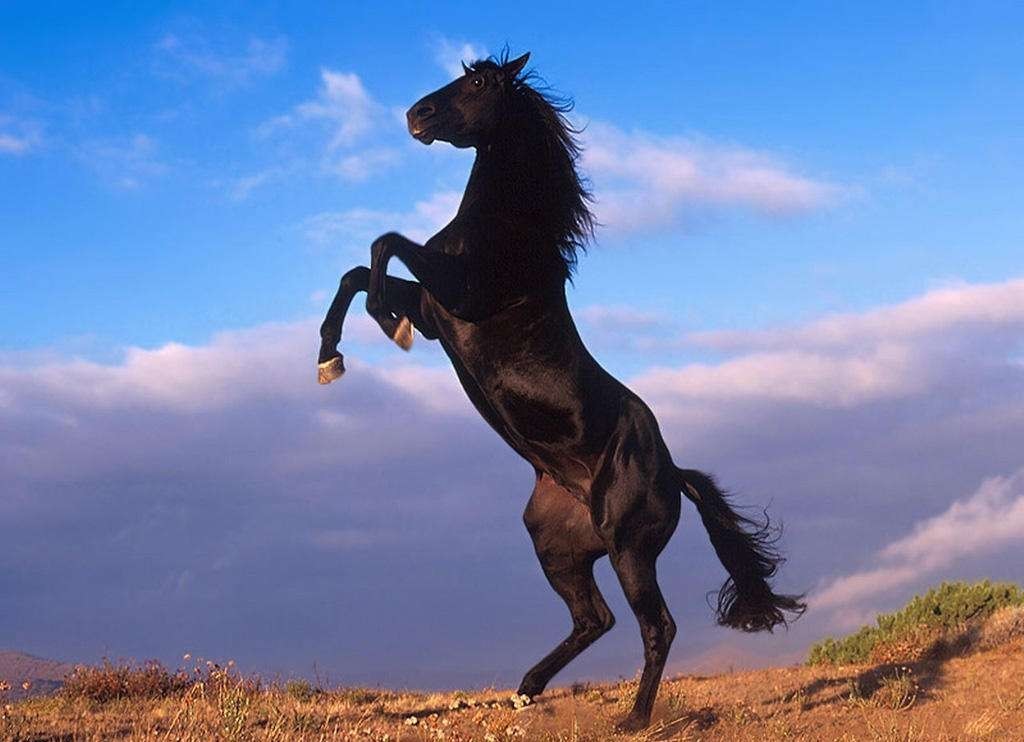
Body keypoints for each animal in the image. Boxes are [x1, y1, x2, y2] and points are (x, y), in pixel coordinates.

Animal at [316, 50, 805, 732]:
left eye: (478, 82)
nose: (416, 115)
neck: (507, 229)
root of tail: (674, 472)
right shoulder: (440, 312)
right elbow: (357, 273)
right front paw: (331, 356)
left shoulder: (458, 295)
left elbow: (384, 246)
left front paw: (386, 325)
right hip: (558, 547)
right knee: (593, 619)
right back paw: (526, 689)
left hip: (629, 551)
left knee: (656, 626)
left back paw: (633, 719)